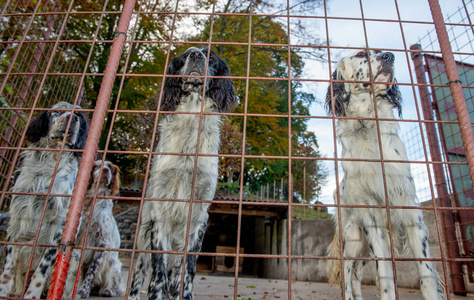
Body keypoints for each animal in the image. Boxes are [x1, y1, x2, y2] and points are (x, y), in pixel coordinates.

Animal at [0, 102, 89, 298]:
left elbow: (41, 271)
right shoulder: (17, 219)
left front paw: (31, 295)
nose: (73, 118)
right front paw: (3, 289)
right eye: (58, 111)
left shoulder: (58, 227)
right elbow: (9, 265)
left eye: (79, 115)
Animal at [128, 47, 239, 300]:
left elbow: (187, 270)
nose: (196, 55)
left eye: (211, 57)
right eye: (185, 55)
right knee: (138, 278)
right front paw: (156, 295)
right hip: (142, 242)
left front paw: (185, 294)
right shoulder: (160, 212)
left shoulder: (198, 216)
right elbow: (158, 271)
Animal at [326, 49, 444, 300]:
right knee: (347, 272)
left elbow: (426, 272)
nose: (389, 56)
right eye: (361, 54)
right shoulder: (371, 215)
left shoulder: (407, 205)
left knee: (357, 274)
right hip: (353, 236)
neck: (367, 125)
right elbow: (385, 274)